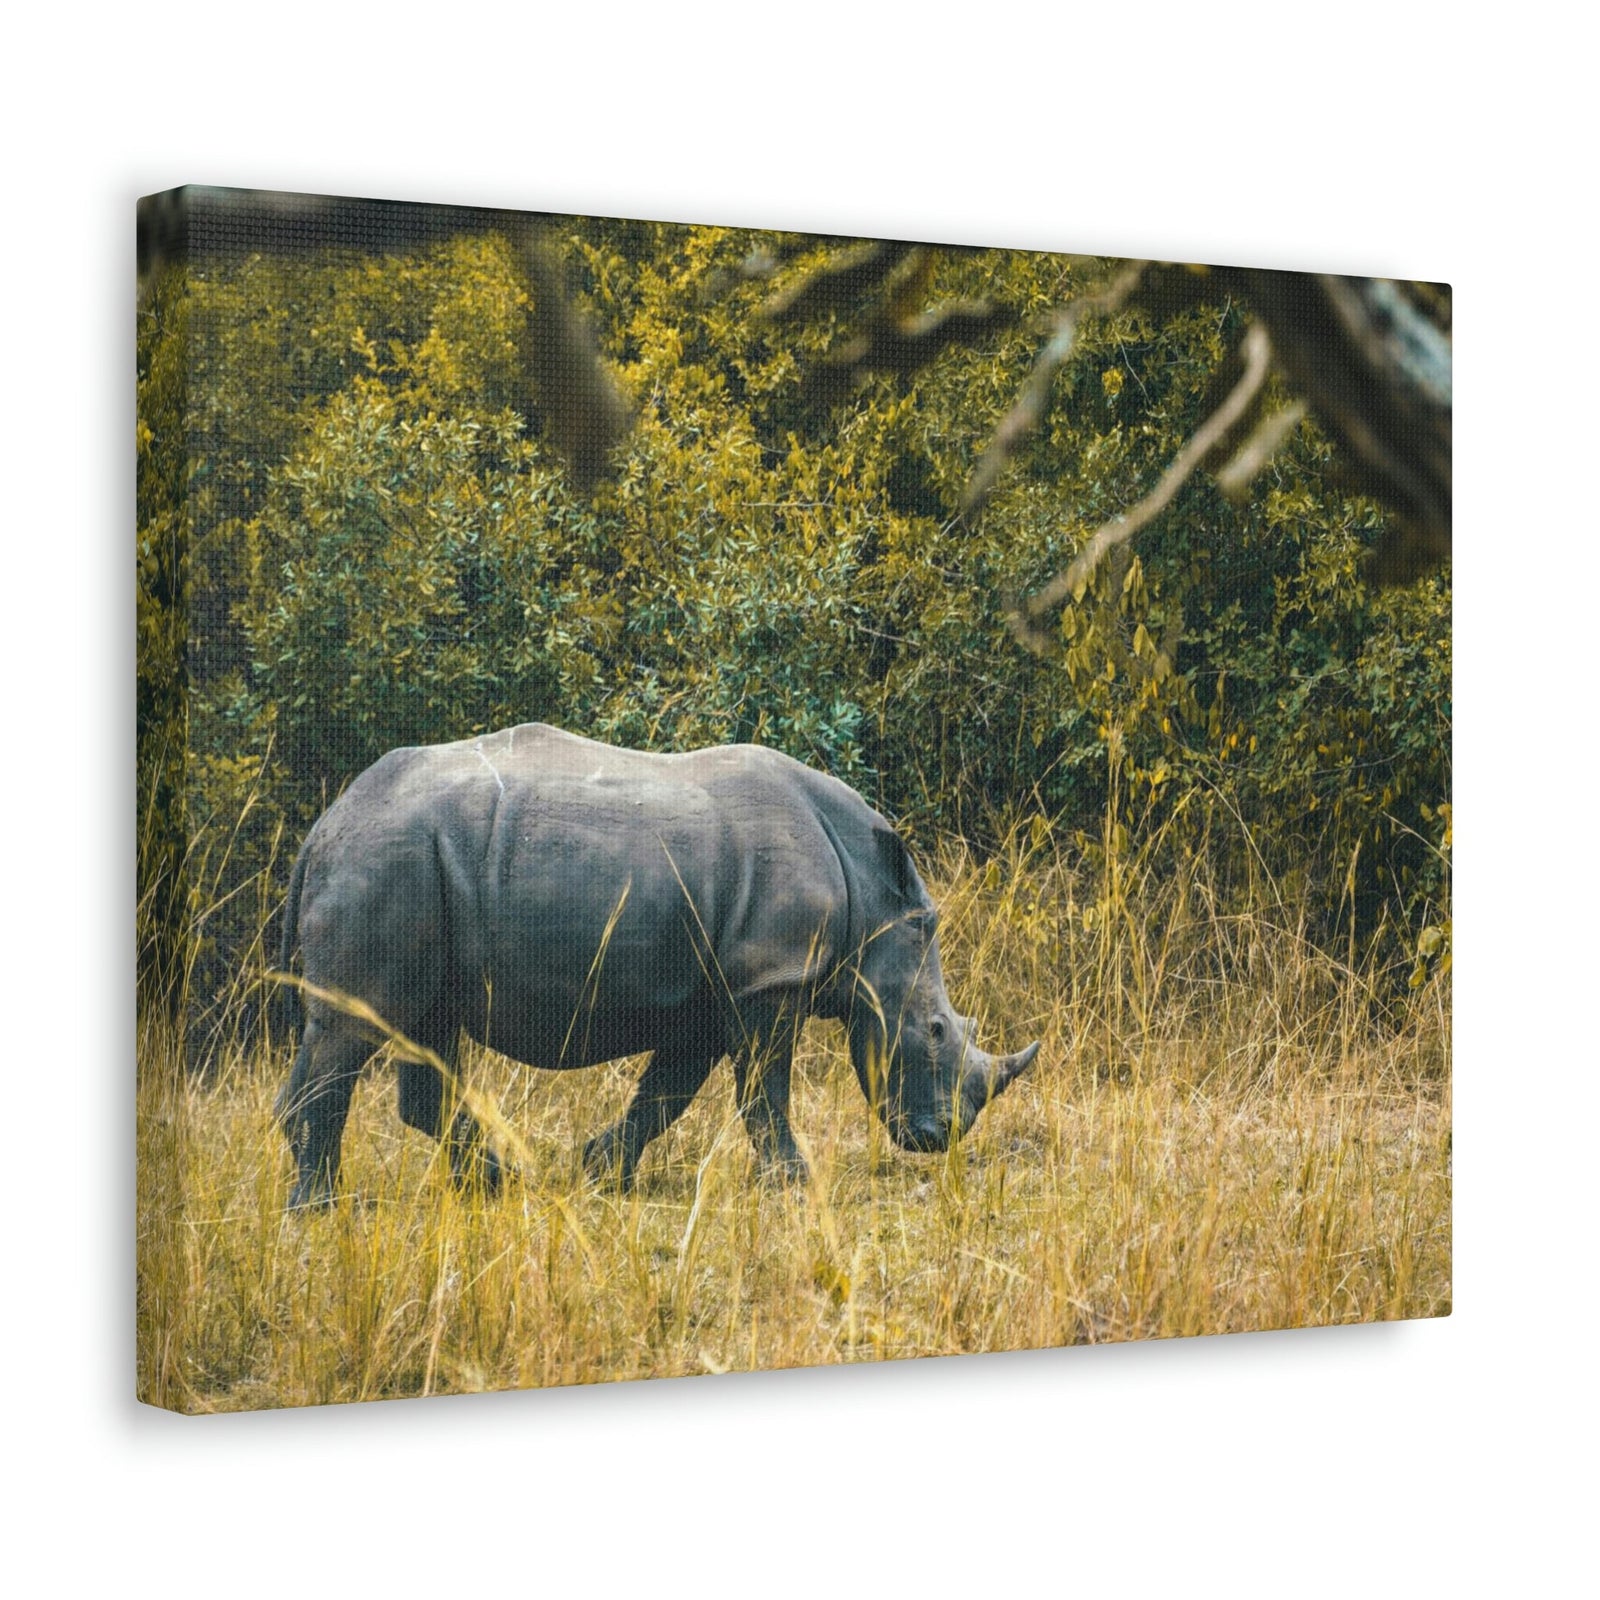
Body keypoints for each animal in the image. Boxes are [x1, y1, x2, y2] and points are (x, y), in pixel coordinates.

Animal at [275, 723, 1039, 1207]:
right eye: (935, 1032)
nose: (937, 1140)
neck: (872, 899)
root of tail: (325, 825)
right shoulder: (769, 978)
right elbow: (763, 1090)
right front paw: (795, 1184)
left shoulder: (716, 989)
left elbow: (669, 1092)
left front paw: (598, 1171)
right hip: (387, 858)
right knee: (355, 1030)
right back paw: (321, 1209)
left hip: (411, 865)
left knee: (421, 1032)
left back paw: (499, 1183)